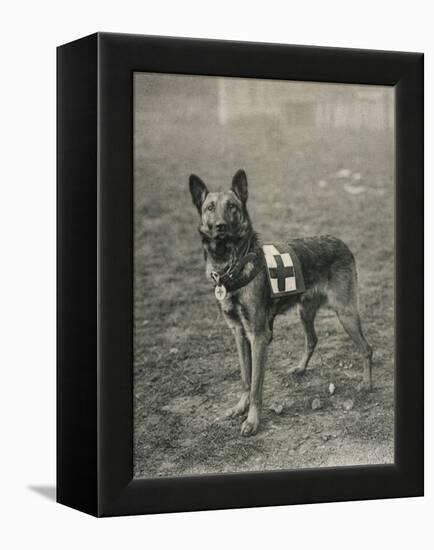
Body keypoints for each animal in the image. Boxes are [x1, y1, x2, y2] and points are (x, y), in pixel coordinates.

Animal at [188, 170, 372, 438]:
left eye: (232, 207)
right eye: (210, 207)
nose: (220, 226)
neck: (232, 264)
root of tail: (340, 242)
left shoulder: (258, 336)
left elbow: (256, 385)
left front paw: (252, 420)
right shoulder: (239, 334)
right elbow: (245, 378)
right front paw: (240, 407)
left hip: (345, 313)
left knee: (367, 349)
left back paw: (367, 384)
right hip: (305, 312)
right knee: (312, 339)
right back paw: (301, 368)